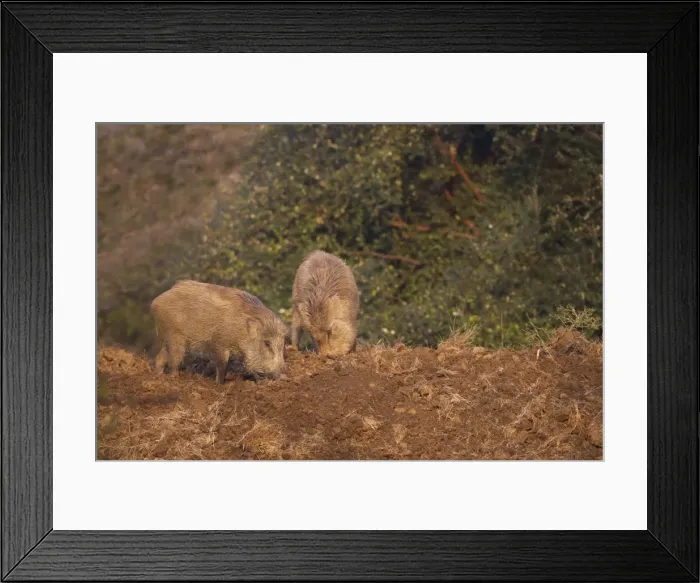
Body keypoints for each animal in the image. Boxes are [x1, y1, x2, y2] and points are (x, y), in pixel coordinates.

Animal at [150, 280, 286, 383]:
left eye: (282, 345)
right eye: (267, 343)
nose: (280, 376)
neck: (241, 330)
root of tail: (156, 301)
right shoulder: (221, 343)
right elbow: (222, 366)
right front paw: (220, 384)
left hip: (167, 336)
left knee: (160, 357)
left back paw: (158, 375)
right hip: (175, 335)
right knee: (174, 359)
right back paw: (173, 377)